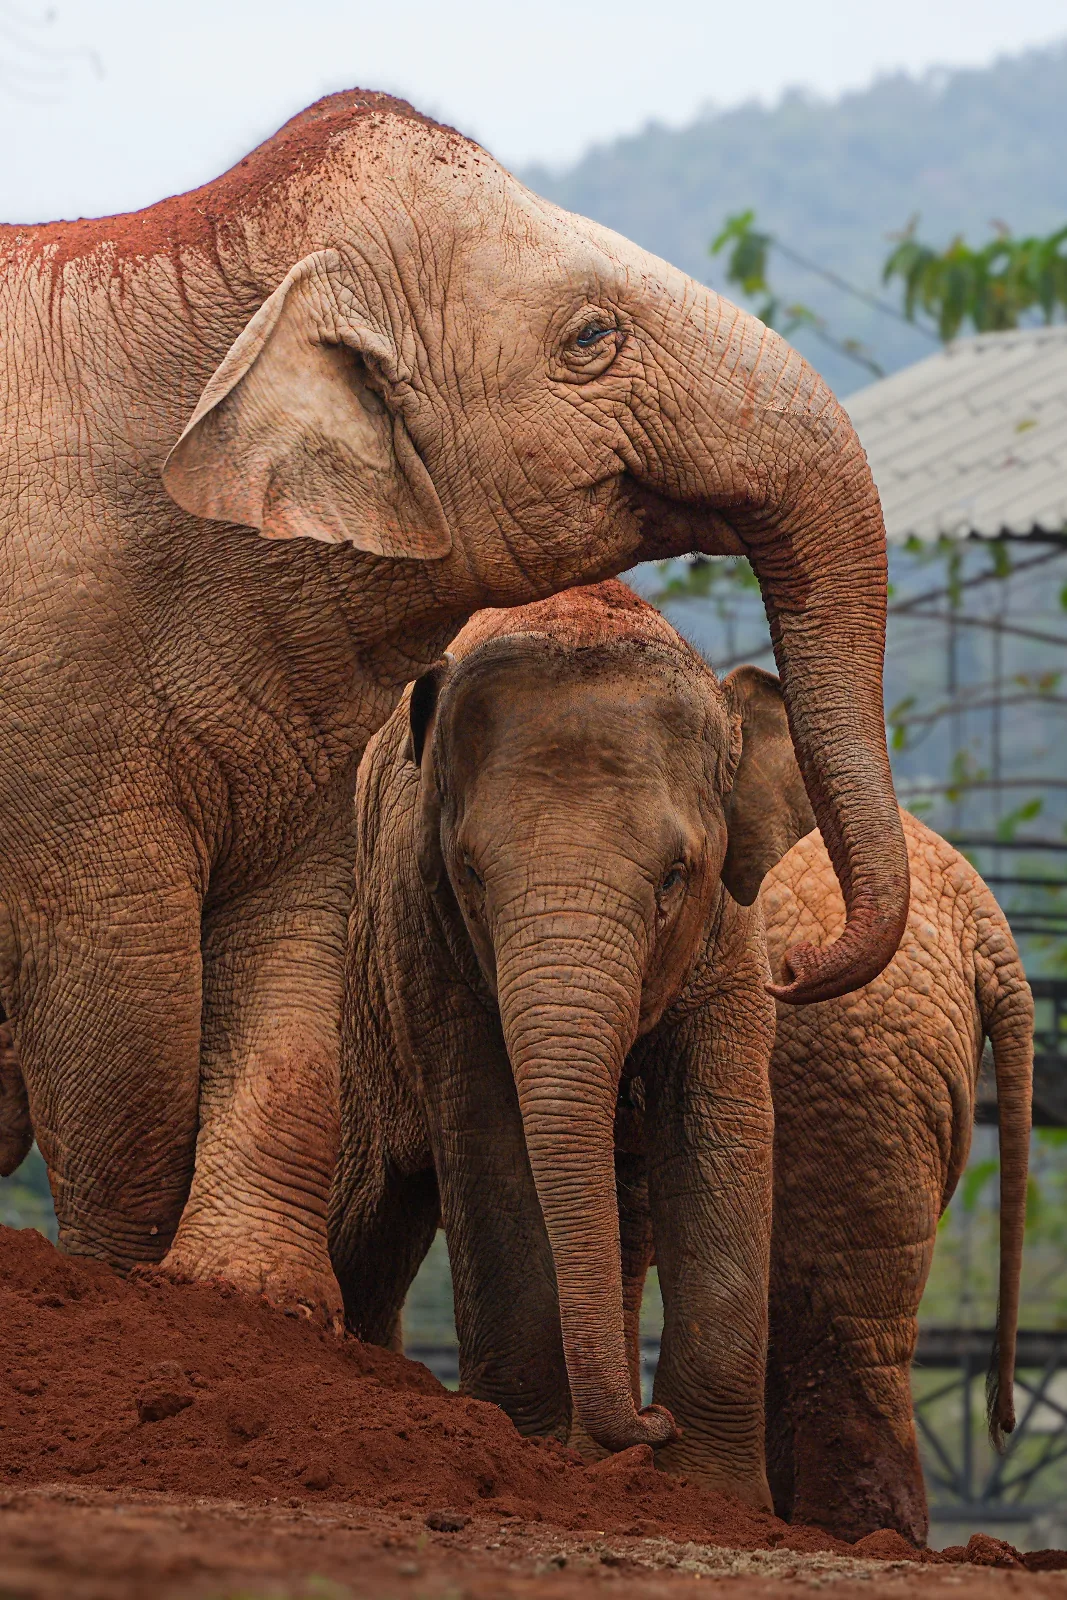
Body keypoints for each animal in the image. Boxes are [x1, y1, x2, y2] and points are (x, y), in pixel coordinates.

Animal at [0, 88, 907, 1314]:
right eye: (590, 340)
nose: (794, 970)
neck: (204, 250)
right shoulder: (58, 702)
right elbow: (124, 1017)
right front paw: (125, 1290)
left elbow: (294, 962)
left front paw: (255, 1300)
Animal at [331, 579, 817, 1472]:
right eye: (471, 872)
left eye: (673, 877)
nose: (652, 1424)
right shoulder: (420, 931)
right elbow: (486, 1129)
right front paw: (526, 1444)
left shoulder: (732, 942)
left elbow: (716, 1130)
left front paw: (707, 1487)